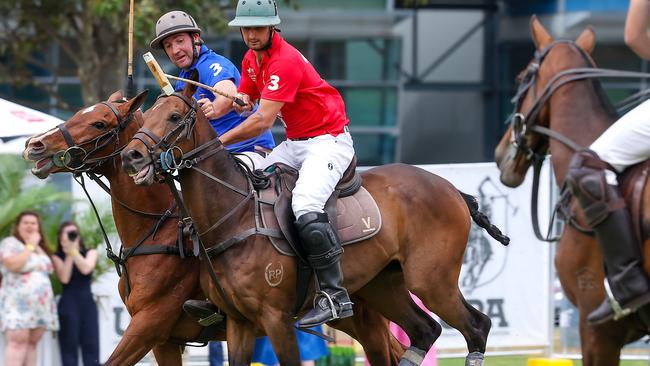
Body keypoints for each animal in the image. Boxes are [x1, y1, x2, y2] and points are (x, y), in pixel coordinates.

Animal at [22, 90, 432, 364]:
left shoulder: (150, 324)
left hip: (364, 311)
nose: (34, 145)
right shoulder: (165, 339)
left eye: (99, 123)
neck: (157, 229)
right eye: (78, 112)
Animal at [120, 76, 506, 364]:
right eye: (146, 115)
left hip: (432, 280)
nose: (131, 156)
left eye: (173, 117)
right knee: (425, 331)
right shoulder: (238, 322)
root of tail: (453, 189)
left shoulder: (275, 319)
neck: (234, 215)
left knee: (477, 326)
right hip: (384, 284)